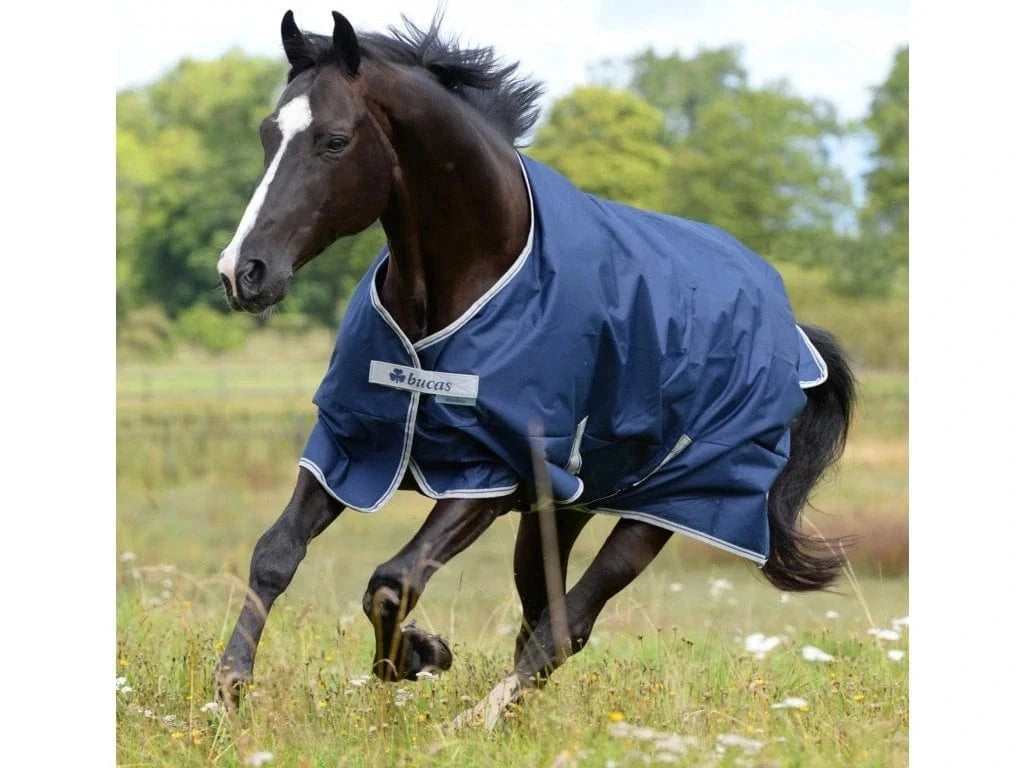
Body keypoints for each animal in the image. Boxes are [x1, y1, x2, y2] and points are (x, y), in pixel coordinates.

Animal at [214, 10, 855, 727]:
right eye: (268, 133)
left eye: (334, 141)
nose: (243, 272)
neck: (470, 279)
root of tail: (792, 333)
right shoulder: (352, 442)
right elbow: (276, 552)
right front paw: (230, 688)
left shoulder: (490, 475)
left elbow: (391, 582)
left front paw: (420, 655)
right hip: (564, 509)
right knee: (542, 616)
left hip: (669, 508)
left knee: (566, 624)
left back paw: (478, 720)